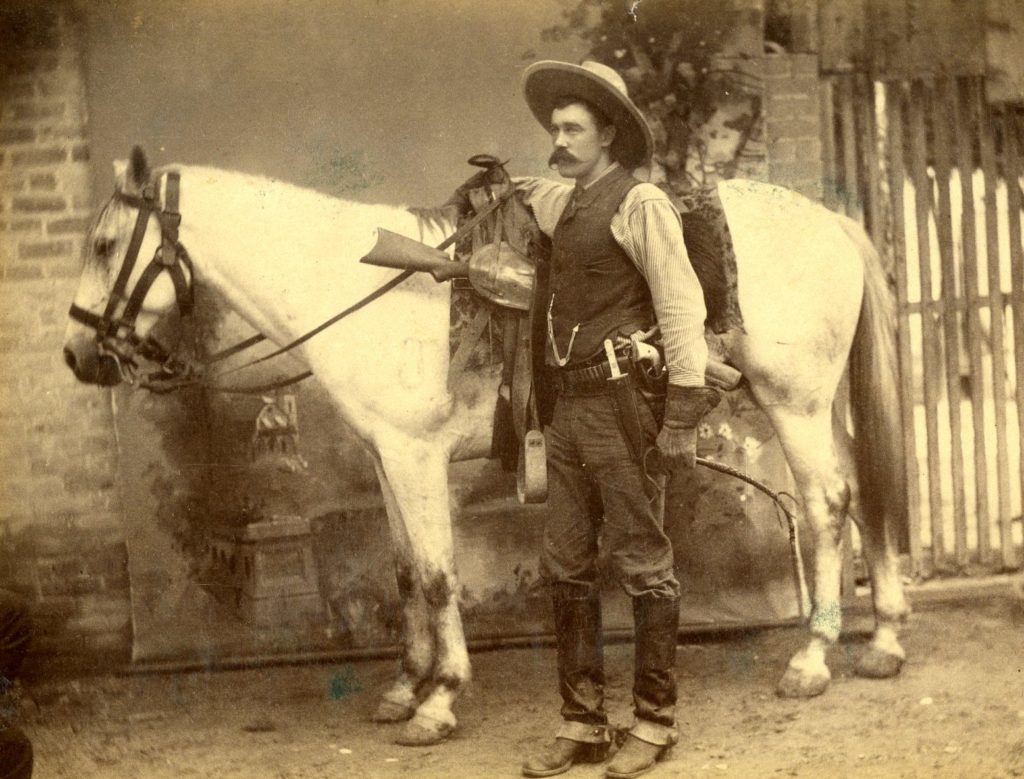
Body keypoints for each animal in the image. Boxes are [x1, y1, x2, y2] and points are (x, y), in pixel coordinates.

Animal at [64, 147, 909, 749]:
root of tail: (830, 220)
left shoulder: (416, 457)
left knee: (827, 504)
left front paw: (438, 700)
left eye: (105, 244)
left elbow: (439, 576)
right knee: (867, 491)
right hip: (817, 406)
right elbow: (406, 570)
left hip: (794, 401)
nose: (78, 354)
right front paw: (404, 685)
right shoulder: (388, 459)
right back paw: (886, 639)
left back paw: (813, 655)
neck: (363, 285)